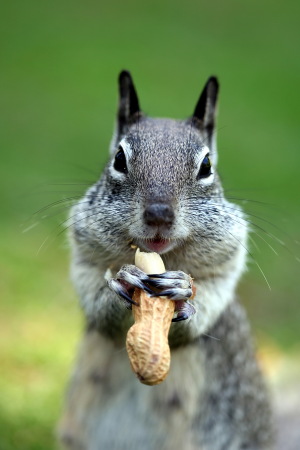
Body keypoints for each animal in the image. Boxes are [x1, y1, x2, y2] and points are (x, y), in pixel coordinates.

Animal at [57, 72, 274, 448]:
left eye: (206, 166)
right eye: (118, 159)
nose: (159, 214)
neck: (162, 257)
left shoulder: (225, 266)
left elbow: (204, 310)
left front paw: (181, 292)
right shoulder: (84, 259)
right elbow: (98, 307)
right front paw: (123, 284)